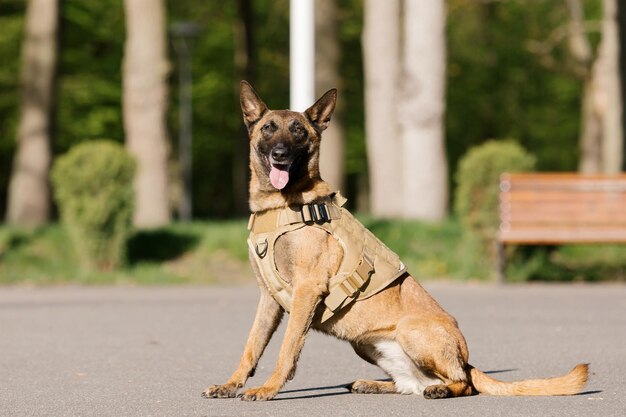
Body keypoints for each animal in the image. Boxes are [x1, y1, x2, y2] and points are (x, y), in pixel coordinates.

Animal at [202, 80, 588, 400]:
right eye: (268, 129)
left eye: (299, 131)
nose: (280, 154)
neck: (284, 205)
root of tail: (466, 357)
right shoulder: (269, 299)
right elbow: (251, 346)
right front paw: (231, 384)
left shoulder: (306, 292)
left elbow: (286, 348)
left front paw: (267, 389)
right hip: (365, 345)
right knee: (411, 384)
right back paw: (373, 384)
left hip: (409, 330)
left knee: (462, 383)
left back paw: (442, 390)